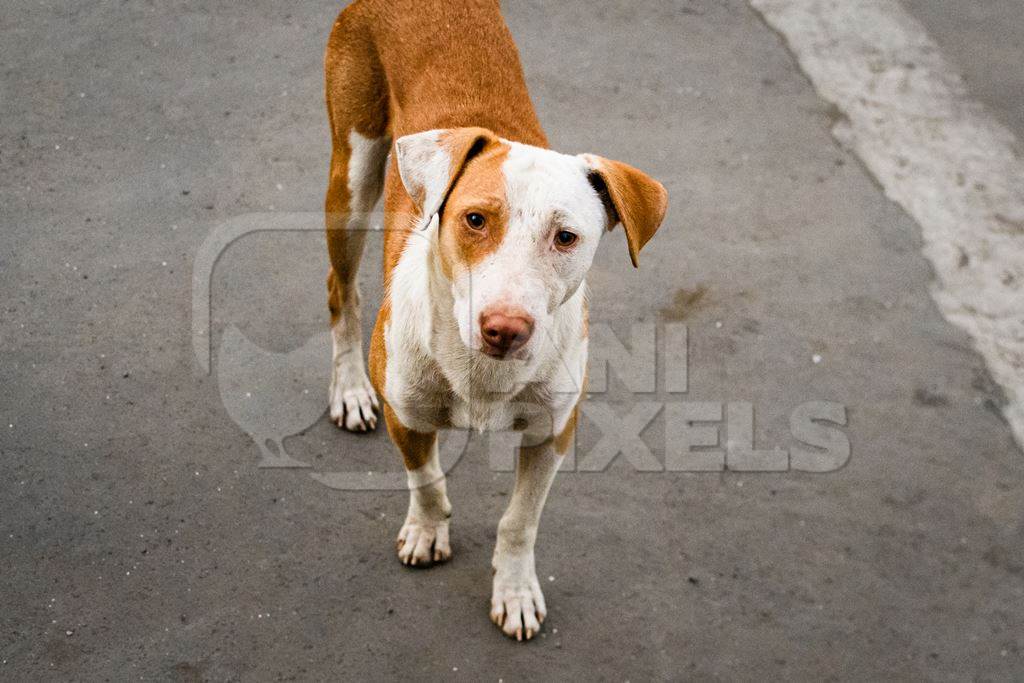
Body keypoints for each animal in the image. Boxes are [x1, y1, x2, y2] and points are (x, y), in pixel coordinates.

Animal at [323, 0, 667, 643]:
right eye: (475, 219)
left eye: (566, 237)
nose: (504, 328)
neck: (480, 373)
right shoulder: (408, 414)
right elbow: (427, 480)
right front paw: (428, 530)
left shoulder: (552, 432)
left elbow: (519, 521)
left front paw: (514, 589)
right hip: (351, 177)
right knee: (340, 289)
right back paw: (350, 389)